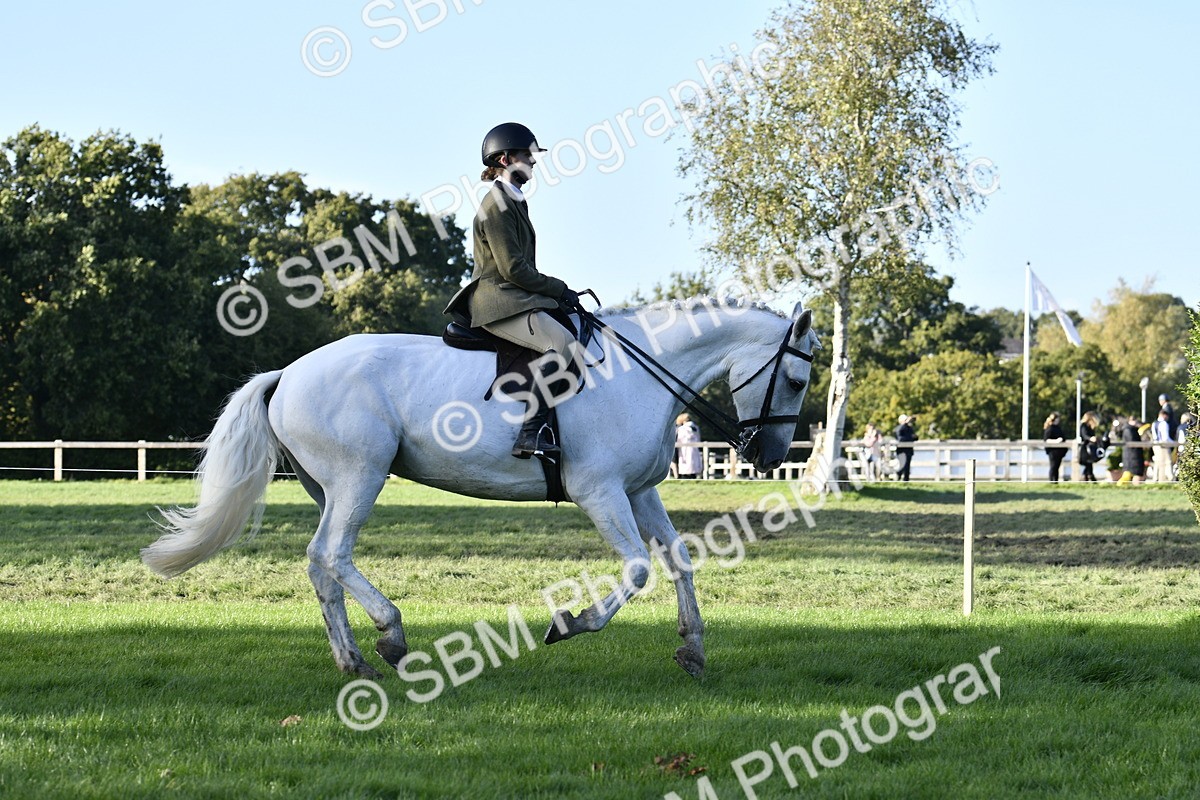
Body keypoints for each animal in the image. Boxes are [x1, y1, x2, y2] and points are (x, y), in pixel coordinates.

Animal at [142, 298, 819, 679]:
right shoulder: (601, 492)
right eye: (793, 379)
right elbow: (635, 570)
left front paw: (693, 649)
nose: (767, 456)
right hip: (361, 475)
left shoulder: (640, 492)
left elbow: (678, 561)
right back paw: (391, 635)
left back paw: (352, 658)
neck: (639, 373)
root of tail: (287, 372)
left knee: (321, 564)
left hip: (330, 487)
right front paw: (571, 622)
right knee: (332, 555)